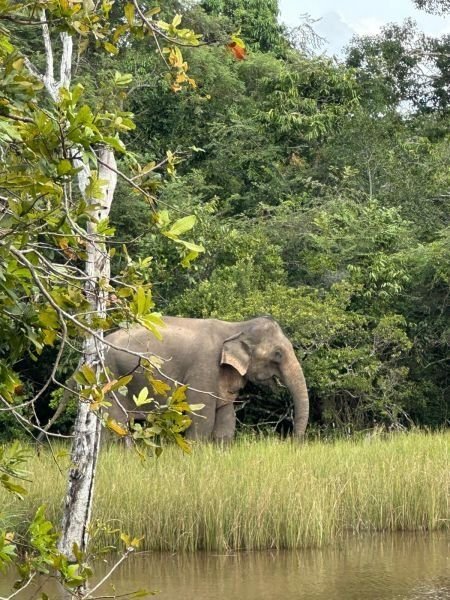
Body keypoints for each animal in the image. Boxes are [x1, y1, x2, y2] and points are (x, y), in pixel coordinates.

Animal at [104, 316, 310, 442]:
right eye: (277, 354)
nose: (291, 441)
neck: (237, 326)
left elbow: (227, 418)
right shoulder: (204, 368)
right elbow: (202, 418)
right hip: (111, 376)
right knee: (115, 425)